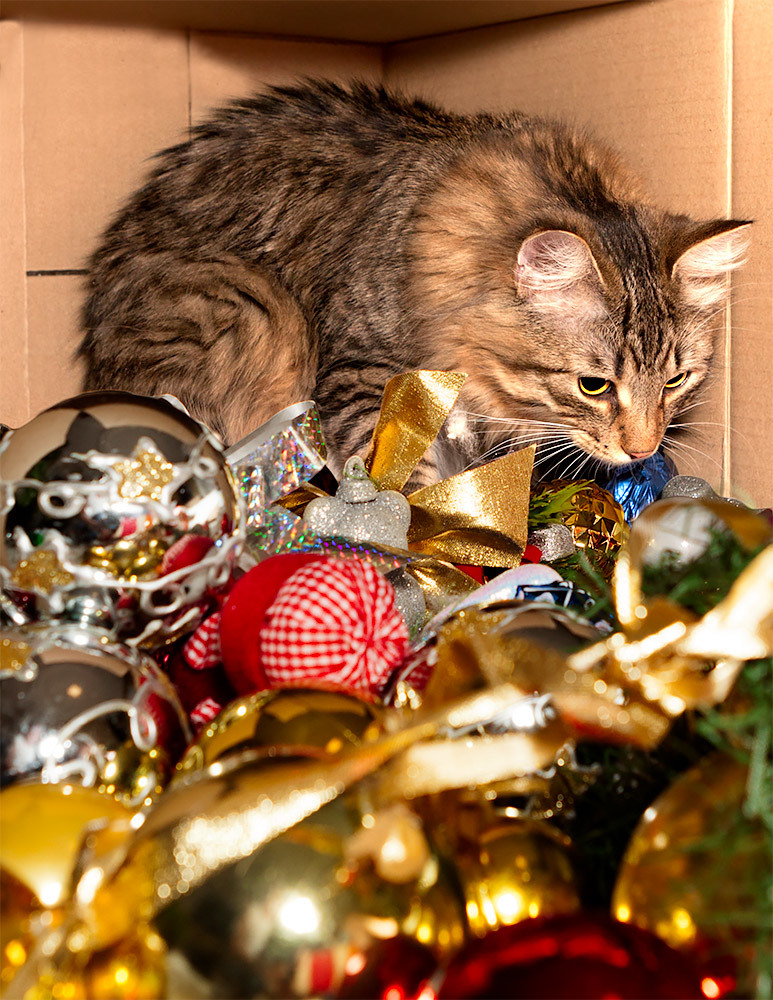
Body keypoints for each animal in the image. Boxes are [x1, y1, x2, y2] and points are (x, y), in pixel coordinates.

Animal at [79, 80, 750, 483]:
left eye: (677, 380)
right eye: (594, 386)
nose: (645, 451)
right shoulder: (358, 368)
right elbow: (398, 467)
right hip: (258, 310)